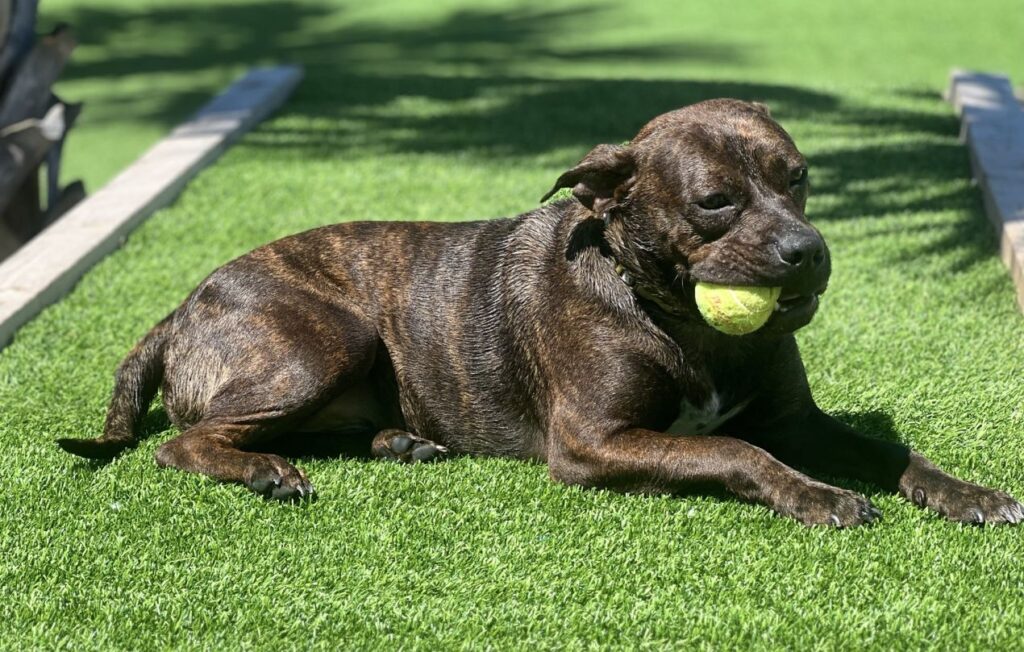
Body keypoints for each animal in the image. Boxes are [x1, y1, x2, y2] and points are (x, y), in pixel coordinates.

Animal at [58, 99, 1024, 528]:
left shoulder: (801, 420)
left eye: (800, 179)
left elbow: (891, 452)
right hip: (327, 338)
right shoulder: (594, 442)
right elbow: (735, 451)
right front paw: (816, 494)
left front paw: (969, 493)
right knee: (191, 441)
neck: (677, 319)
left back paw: (397, 442)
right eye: (715, 202)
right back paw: (265, 472)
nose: (807, 250)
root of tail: (179, 308)